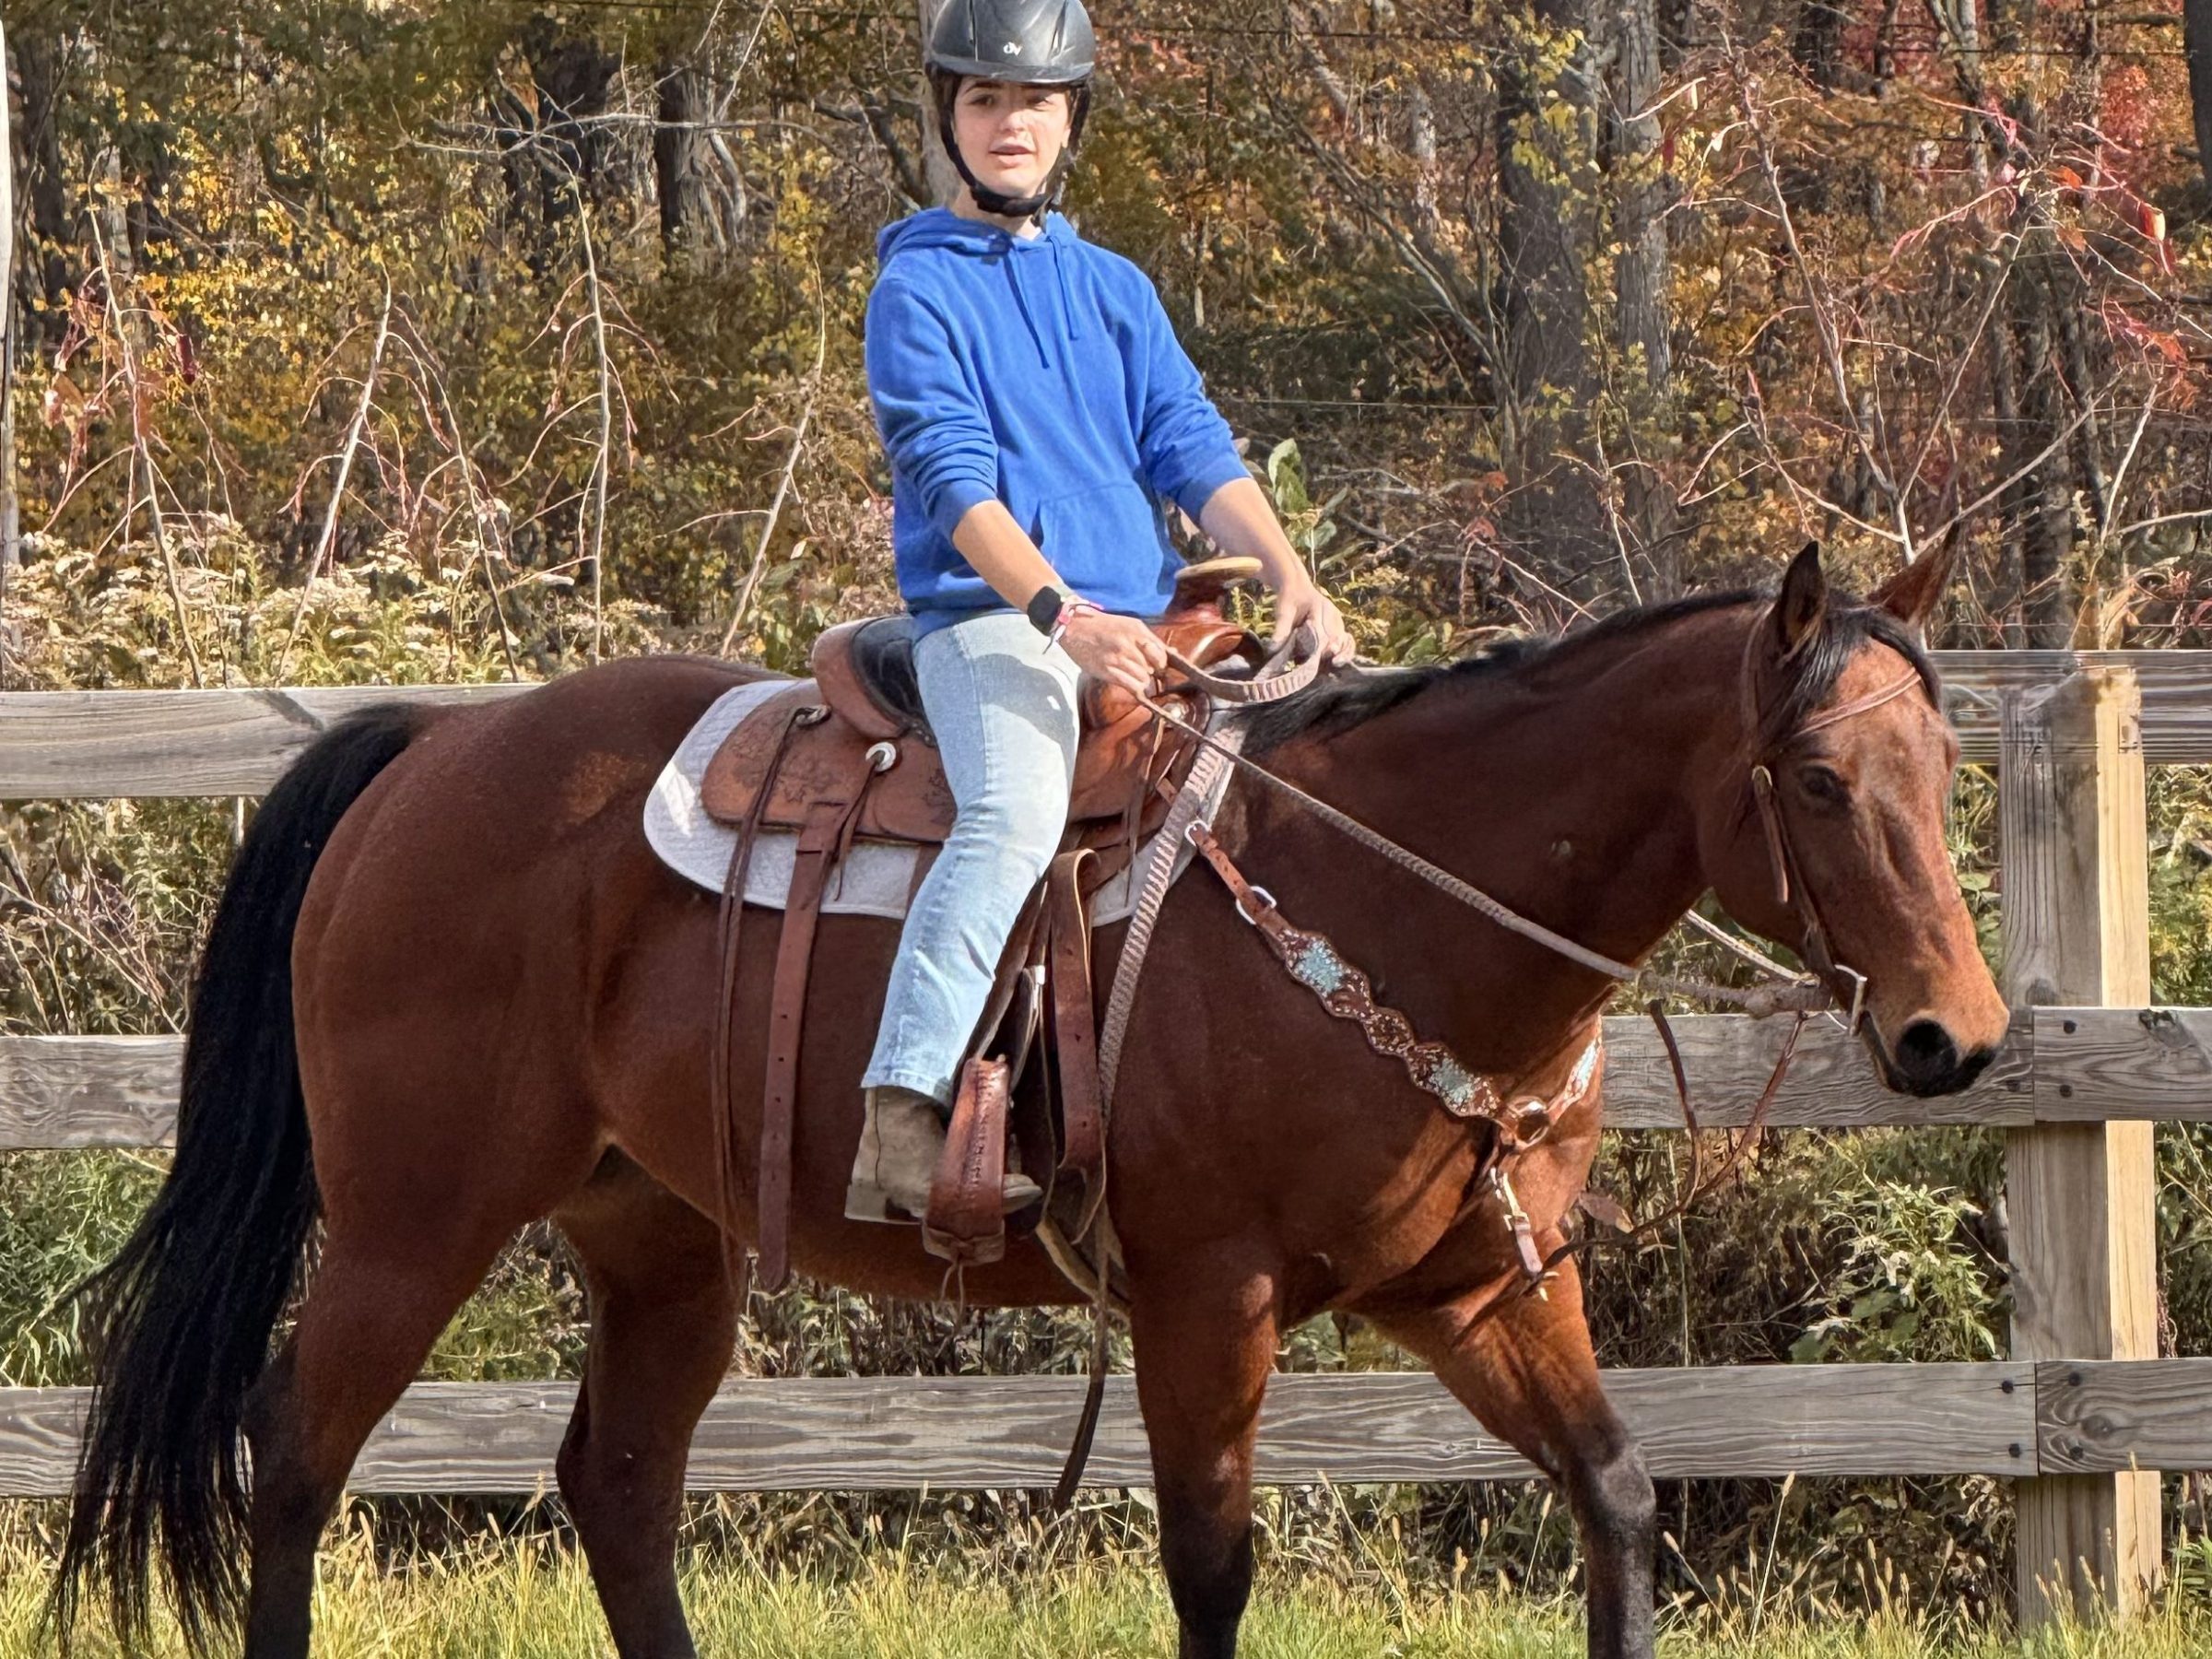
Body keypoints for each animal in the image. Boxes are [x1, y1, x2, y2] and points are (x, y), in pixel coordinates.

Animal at [53, 543, 2010, 1659]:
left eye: (1942, 759)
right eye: (1817, 779)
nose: (1957, 1039)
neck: (1389, 900)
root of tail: (436, 749)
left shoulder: (1475, 1293)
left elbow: (1614, 1499)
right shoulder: (1207, 1302)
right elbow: (1214, 1567)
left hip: (662, 1241)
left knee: (616, 1487)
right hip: (414, 1219)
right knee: (296, 1453)